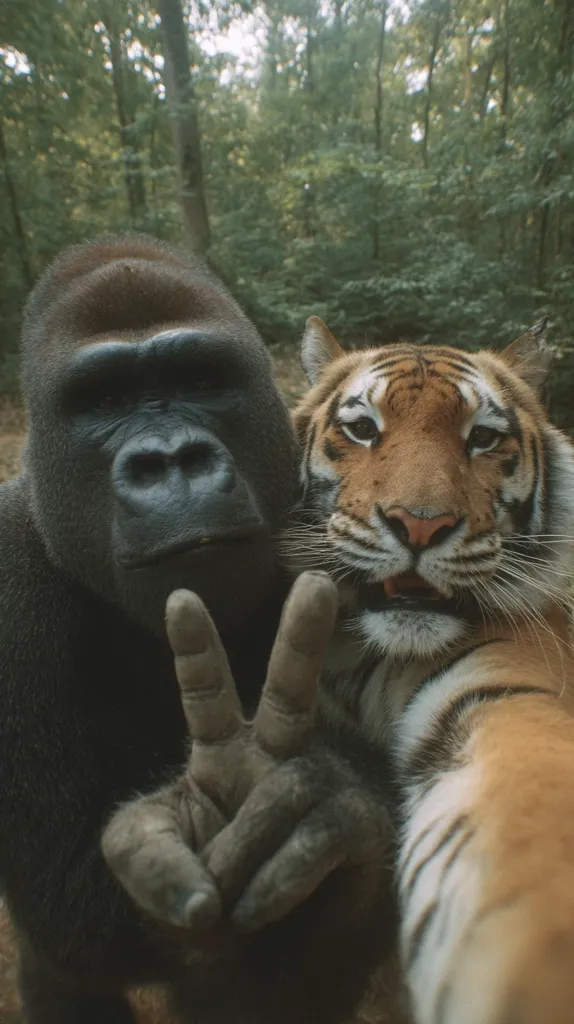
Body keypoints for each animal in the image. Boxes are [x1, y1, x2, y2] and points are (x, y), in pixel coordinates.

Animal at [0, 235, 395, 1024]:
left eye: (203, 379)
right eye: (106, 401)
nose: (173, 461)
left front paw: (324, 810)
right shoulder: (5, 572)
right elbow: (69, 904)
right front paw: (205, 817)